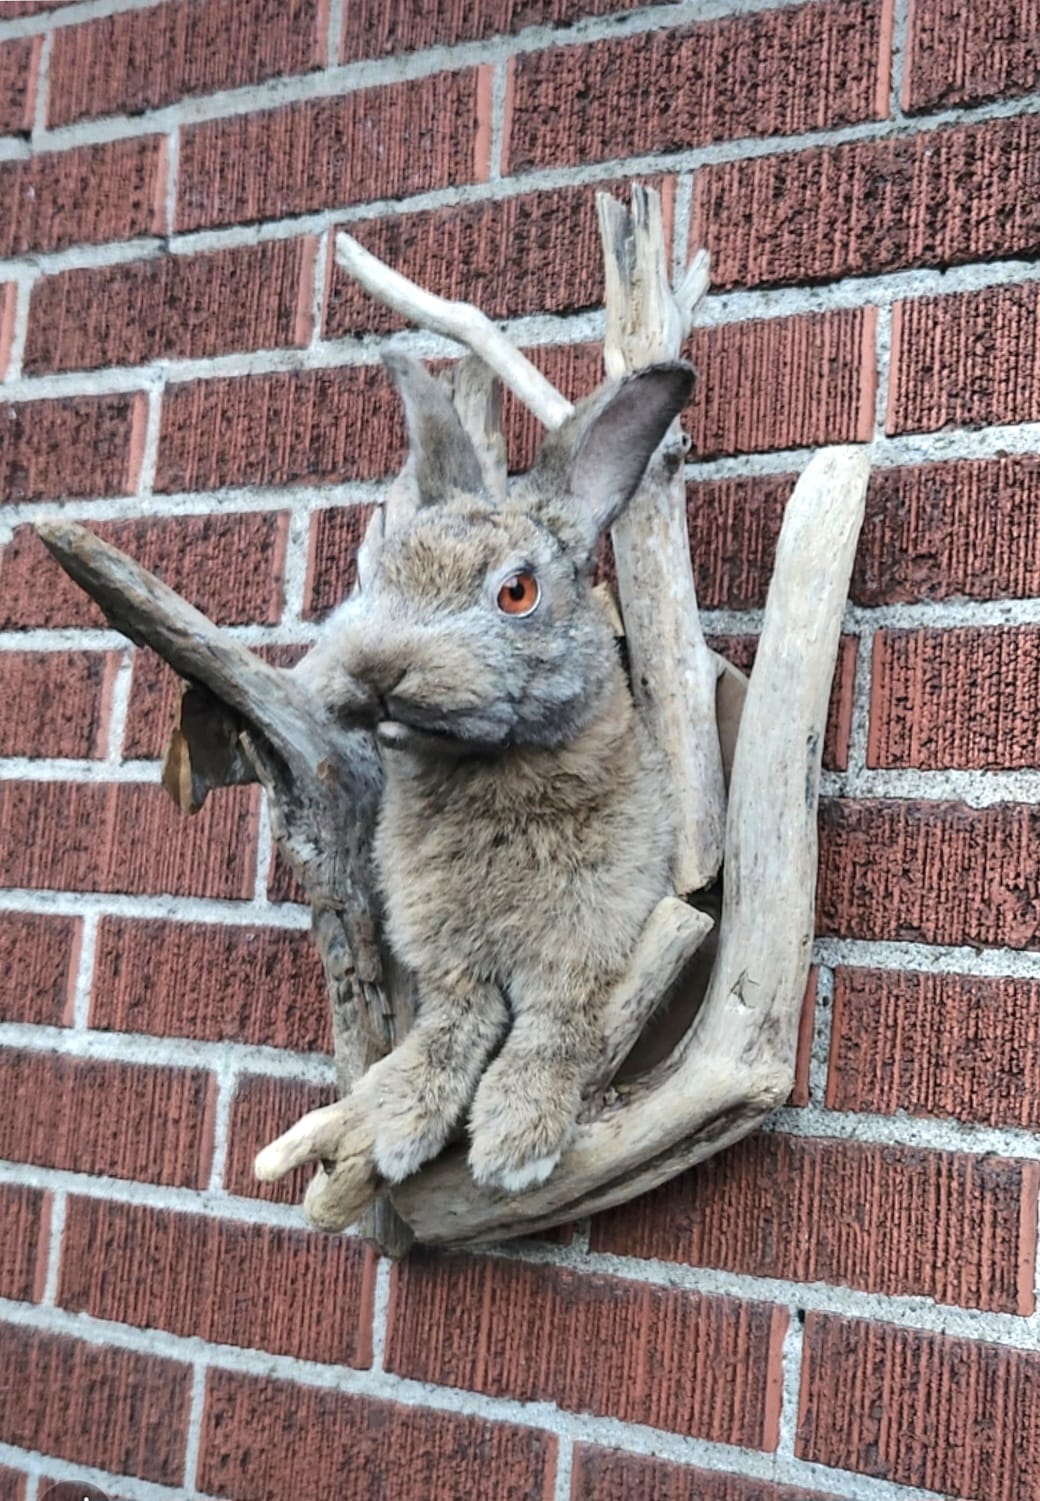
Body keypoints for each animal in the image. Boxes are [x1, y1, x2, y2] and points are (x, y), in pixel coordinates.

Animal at [300, 351, 695, 1193]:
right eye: (375, 577)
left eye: (517, 591)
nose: (378, 670)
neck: (486, 768)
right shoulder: (445, 949)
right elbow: (455, 1019)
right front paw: (400, 1123)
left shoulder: (591, 933)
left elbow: (552, 1023)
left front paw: (515, 1141)